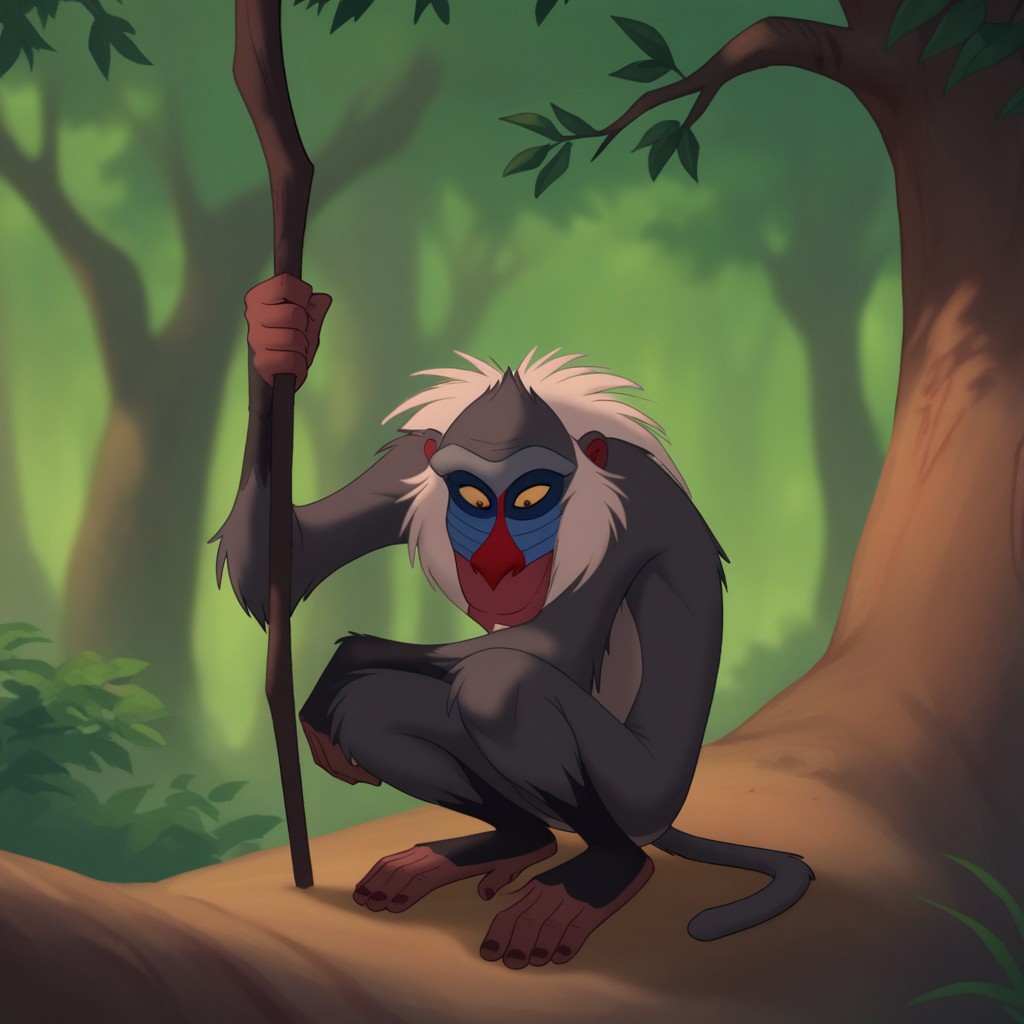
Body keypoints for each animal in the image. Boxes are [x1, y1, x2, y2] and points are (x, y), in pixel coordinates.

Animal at [213, 273, 814, 970]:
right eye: (473, 498)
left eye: (531, 498)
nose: (495, 564)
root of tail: (664, 820)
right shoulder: (404, 472)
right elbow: (290, 560)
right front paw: (279, 332)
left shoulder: (629, 519)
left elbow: (553, 646)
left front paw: (343, 660)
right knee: (372, 708)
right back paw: (511, 842)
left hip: (639, 792)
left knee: (497, 687)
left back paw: (603, 872)